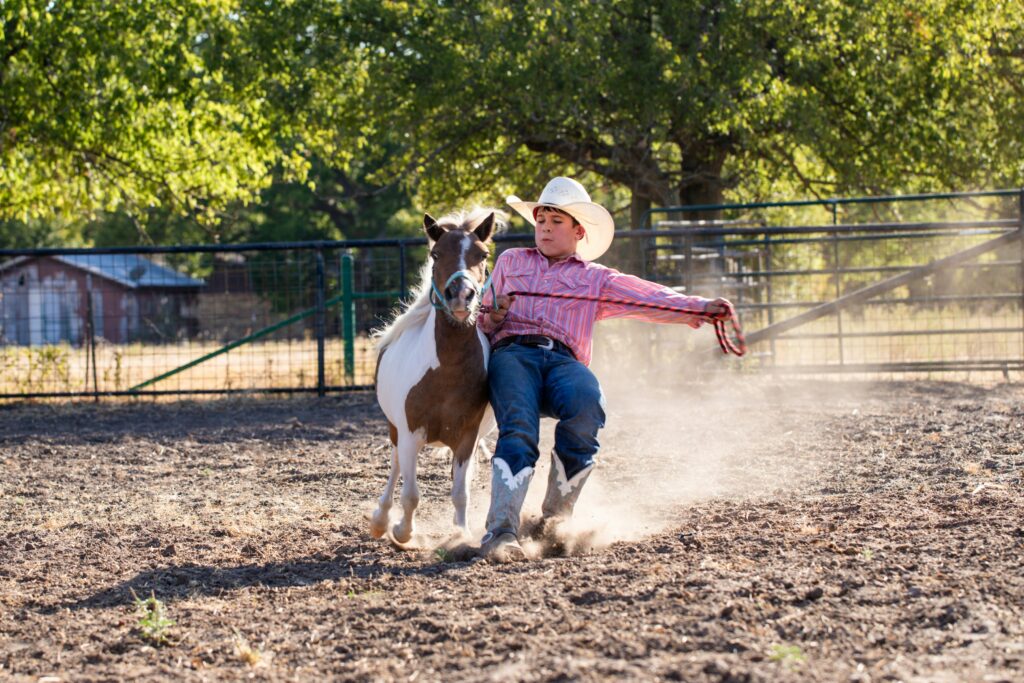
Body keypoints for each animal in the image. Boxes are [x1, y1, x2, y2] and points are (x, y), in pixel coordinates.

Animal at [370, 208, 501, 544]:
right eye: (436, 253)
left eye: (483, 254)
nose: (462, 295)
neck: (447, 372)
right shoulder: (409, 434)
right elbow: (411, 494)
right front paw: (402, 531)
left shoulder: (467, 439)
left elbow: (460, 493)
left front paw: (461, 534)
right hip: (395, 431)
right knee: (395, 467)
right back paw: (380, 519)